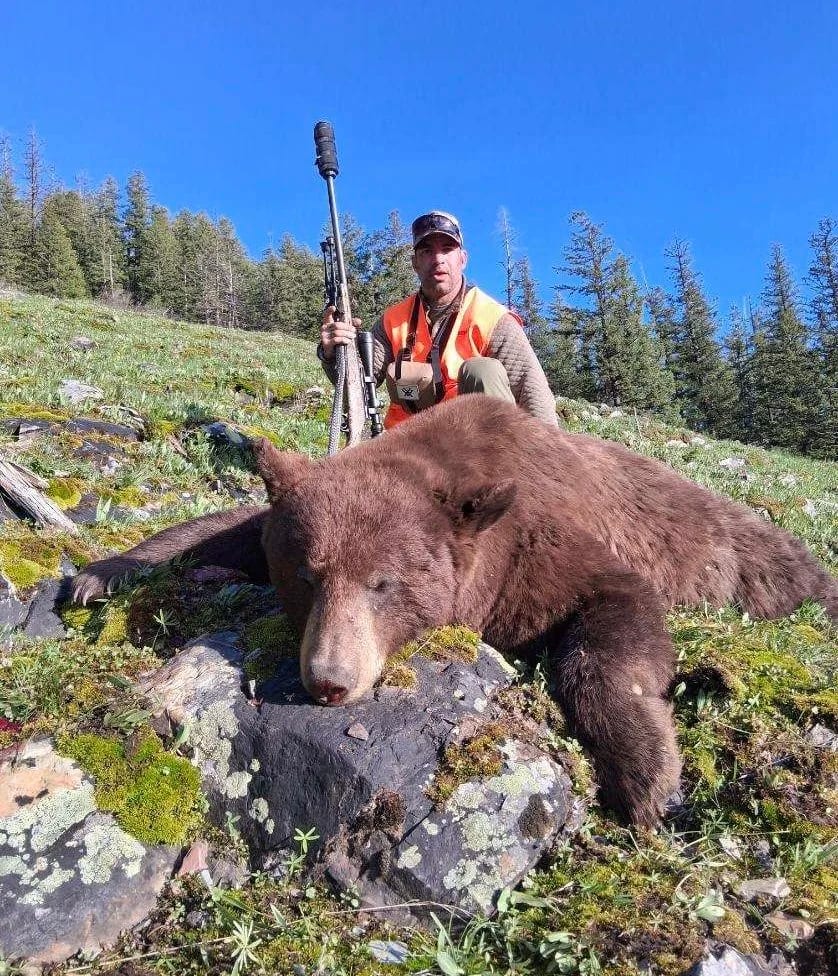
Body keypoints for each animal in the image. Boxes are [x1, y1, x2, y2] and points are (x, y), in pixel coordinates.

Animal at [69, 396, 838, 826]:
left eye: (383, 584)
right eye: (309, 576)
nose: (329, 680)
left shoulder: (528, 548)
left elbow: (613, 612)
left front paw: (646, 774)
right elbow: (220, 527)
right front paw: (100, 574)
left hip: (752, 563)